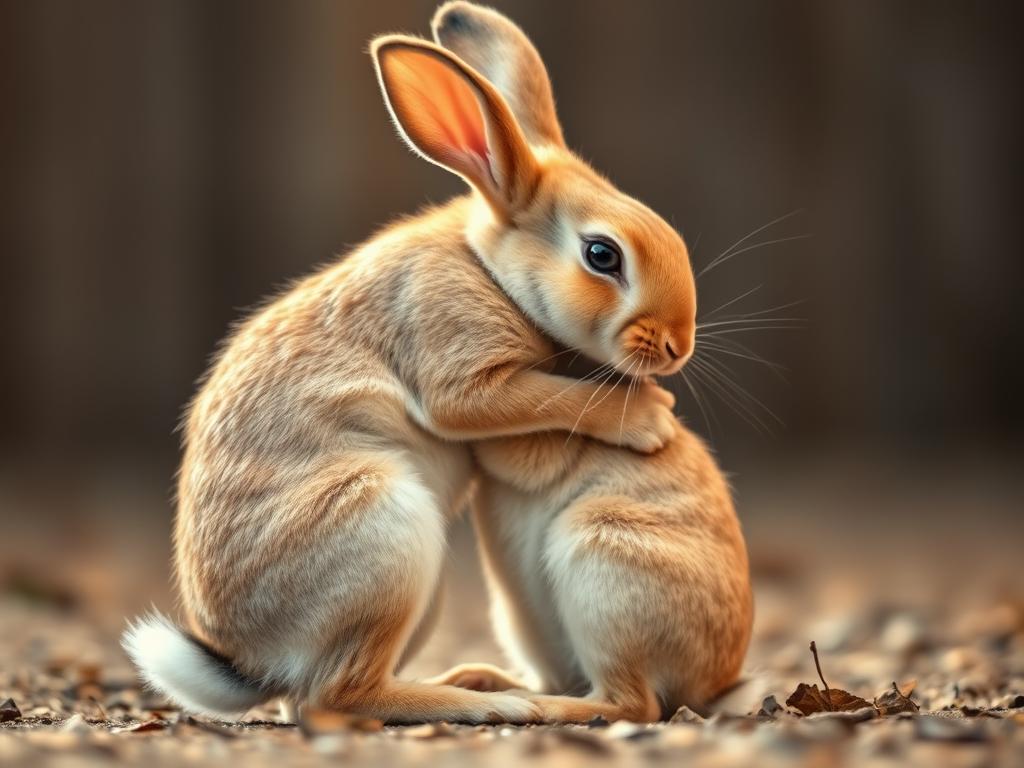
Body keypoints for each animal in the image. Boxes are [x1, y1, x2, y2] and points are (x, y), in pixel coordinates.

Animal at [122, 3, 699, 725]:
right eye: (602, 255)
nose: (679, 345)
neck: (487, 268)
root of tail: (251, 659)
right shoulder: (458, 367)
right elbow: (533, 399)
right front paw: (651, 420)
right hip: (386, 533)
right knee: (340, 694)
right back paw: (493, 704)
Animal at [424, 2, 753, 722]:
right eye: (602, 255)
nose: (679, 346)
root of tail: (716, 681)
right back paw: (479, 681)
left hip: (598, 559)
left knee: (630, 705)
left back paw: (535, 709)